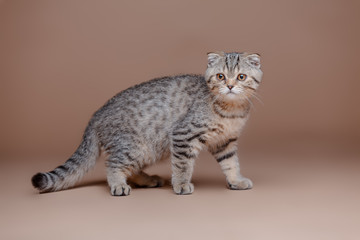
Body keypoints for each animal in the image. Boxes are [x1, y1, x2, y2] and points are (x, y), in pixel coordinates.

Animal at [31, 51, 262, 196]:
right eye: (221, 76)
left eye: (241, 77)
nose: (230, 86)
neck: (231, 110)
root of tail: (96, 114)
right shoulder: (183, 134)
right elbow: (182, 164)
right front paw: (181, 184)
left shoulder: (225, 142)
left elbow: (231, 163)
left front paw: (236, 180)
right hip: (135, 146)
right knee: (113, 164)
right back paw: (118, 185)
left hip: (147, 150)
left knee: (130, 169)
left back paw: (147, 180)